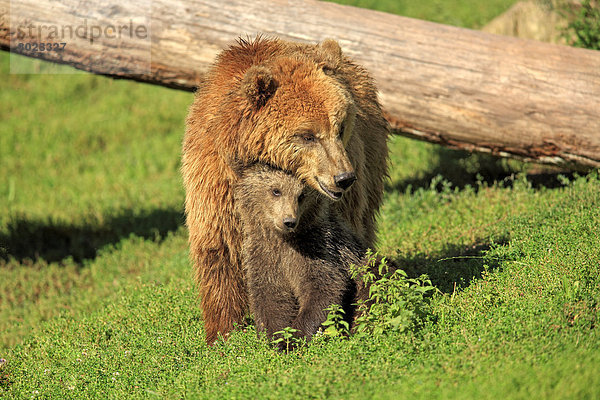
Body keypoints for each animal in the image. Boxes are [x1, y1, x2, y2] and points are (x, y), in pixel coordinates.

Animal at [232, 164, 364, 346]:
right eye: (276, 190)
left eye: (301, 195)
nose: (289, 221)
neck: (284, 240)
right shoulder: (264, 256)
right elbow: (270, 298)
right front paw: (276, 337)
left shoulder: (317, 249)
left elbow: (323, 288)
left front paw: (296, 336)